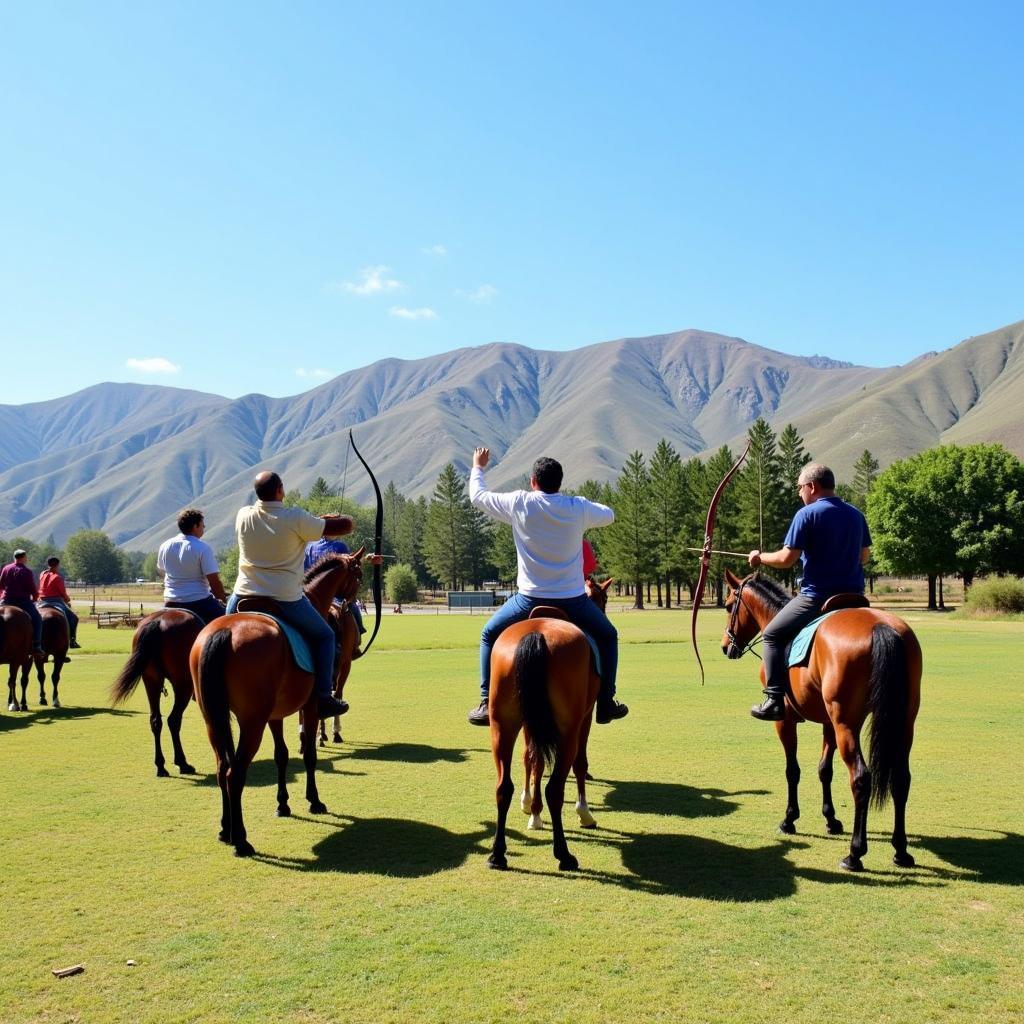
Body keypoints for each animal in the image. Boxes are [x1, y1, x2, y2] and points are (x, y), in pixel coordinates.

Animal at [110, 606, 205, 774]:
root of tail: (158, 621)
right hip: (183, 685)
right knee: (173, 720)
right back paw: (182, 763)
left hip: (151, 680)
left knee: (156, 720)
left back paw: (160, 765)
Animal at [190, 552, 366, 856]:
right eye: (358, 575)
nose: (350, 606)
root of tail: (222, 634)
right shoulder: (310, 707)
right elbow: (309, 753)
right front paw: (314, 800)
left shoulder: (275, 715)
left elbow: (281, 755)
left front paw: (283, 804)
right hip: (252, 722)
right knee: (235, 773)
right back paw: (241, 840)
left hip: (213, 719)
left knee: (222, 768)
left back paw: (225, 830)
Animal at [483, 573, 610, 868]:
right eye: (604, 599)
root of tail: (536, 634)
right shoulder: (585, 717)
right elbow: (578, 763)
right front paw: (584, 813)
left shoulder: (532, 721)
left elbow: (532, 760)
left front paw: (531, 809)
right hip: (568, 728)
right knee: (555, 788)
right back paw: (564, 853)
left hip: (502, 725)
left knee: (503, 786)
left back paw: (497, 854)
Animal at [720, 569, 921, 872]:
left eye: (729, 606)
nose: (725, 647)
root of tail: (881, 627)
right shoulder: (828, 723)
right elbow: (825, 770)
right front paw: (831, 819)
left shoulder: (786, 721)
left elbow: (792, 770)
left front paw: (789, 820)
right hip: (902, 721)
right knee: (901, 778)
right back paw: (900, 850)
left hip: (846, 723)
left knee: (861, 778)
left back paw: (855, 854)